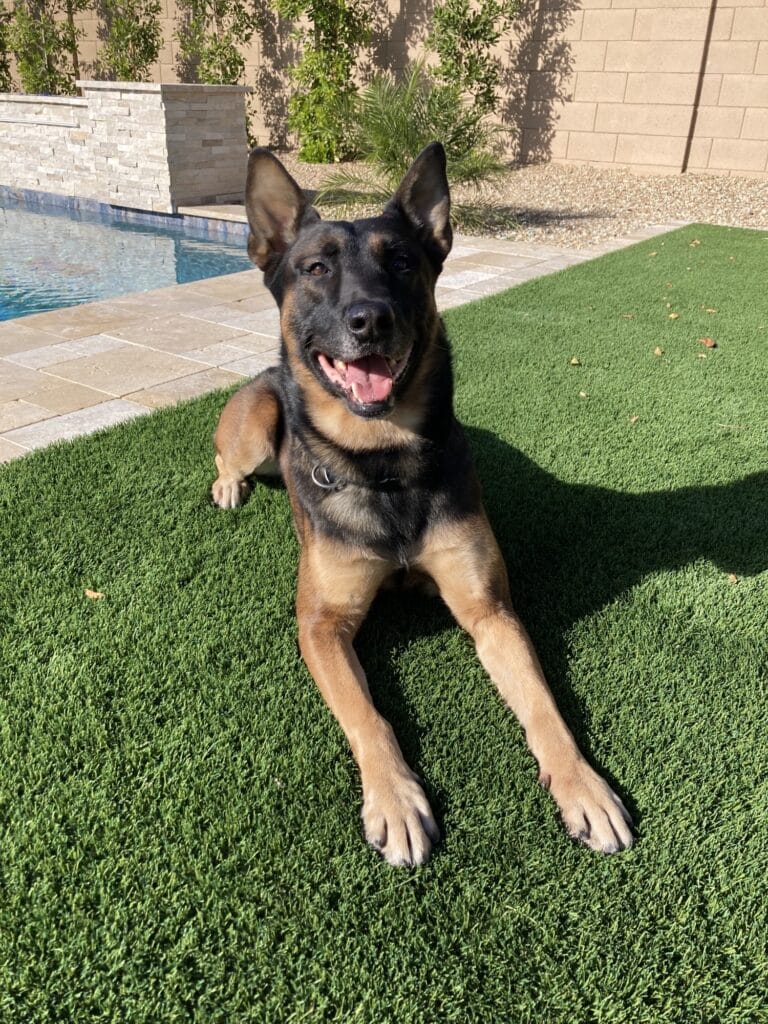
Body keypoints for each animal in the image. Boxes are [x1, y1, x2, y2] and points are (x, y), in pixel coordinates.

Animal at [211, 143, 633, 866]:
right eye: (317, 268)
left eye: (403, 263)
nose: (370, 319)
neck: (384, 465)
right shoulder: (321, 624)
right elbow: (368, 715)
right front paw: (395, 799)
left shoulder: (489, 610)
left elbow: (544, 707)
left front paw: (583, 786)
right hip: (257, 422)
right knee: (227, 455)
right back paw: (227, 486)